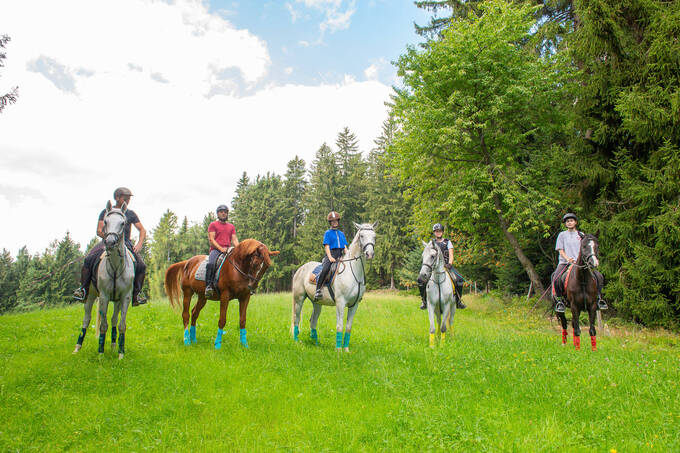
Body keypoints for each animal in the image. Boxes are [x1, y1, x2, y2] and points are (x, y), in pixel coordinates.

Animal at [73, 200, 135, 356]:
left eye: (123, 223)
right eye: (105, 221)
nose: (110, 242)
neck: (116, 267)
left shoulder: (125, 297)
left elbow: (121, 324)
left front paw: (120, 353)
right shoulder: (104, 296)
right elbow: (102, 325)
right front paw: (100, 353)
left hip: (117, 300)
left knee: (113, 320)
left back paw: (113, 345)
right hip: (90, 296)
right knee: (86, 319)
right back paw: (77, 347)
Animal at [290, 221, 378, 352]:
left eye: (374, 236)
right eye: (362, 235)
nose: (370, 254)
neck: (353, 273)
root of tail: (300, 269)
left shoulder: (354, 304)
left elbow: (348, 327)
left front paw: (346, 350)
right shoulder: (340, 303)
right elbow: (339, 326)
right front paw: (338, 350)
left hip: (317, 303)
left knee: (313, 321)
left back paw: (315, 343)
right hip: (299, 299)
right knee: (296, 318)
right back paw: (296, 341)